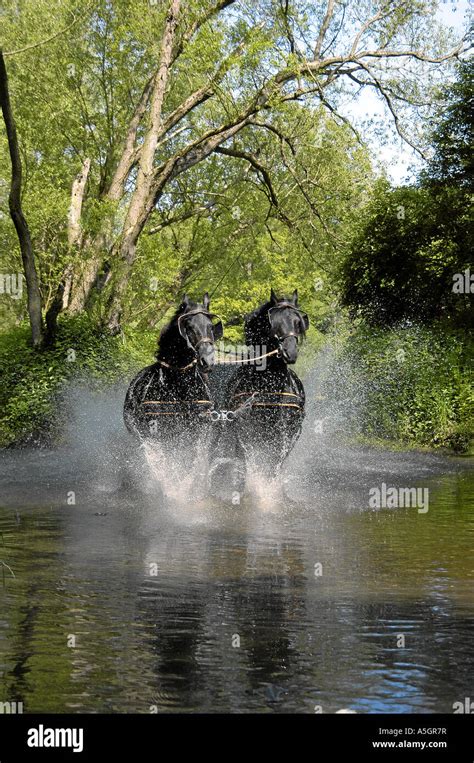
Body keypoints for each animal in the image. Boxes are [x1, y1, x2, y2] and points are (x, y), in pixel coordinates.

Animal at [124, 292, 224, 448]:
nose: (207, 361)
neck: (181, 385)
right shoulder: (157, 430)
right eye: (189, 326)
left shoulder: (201, 429)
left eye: (211, 327)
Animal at [208, 286, 308, 496]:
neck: (270, 386)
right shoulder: (245, 428)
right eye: (275, 322)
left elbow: (275, 462)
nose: (290, 353)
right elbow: (248, 458)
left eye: (298, 322)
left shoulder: (289, 431)